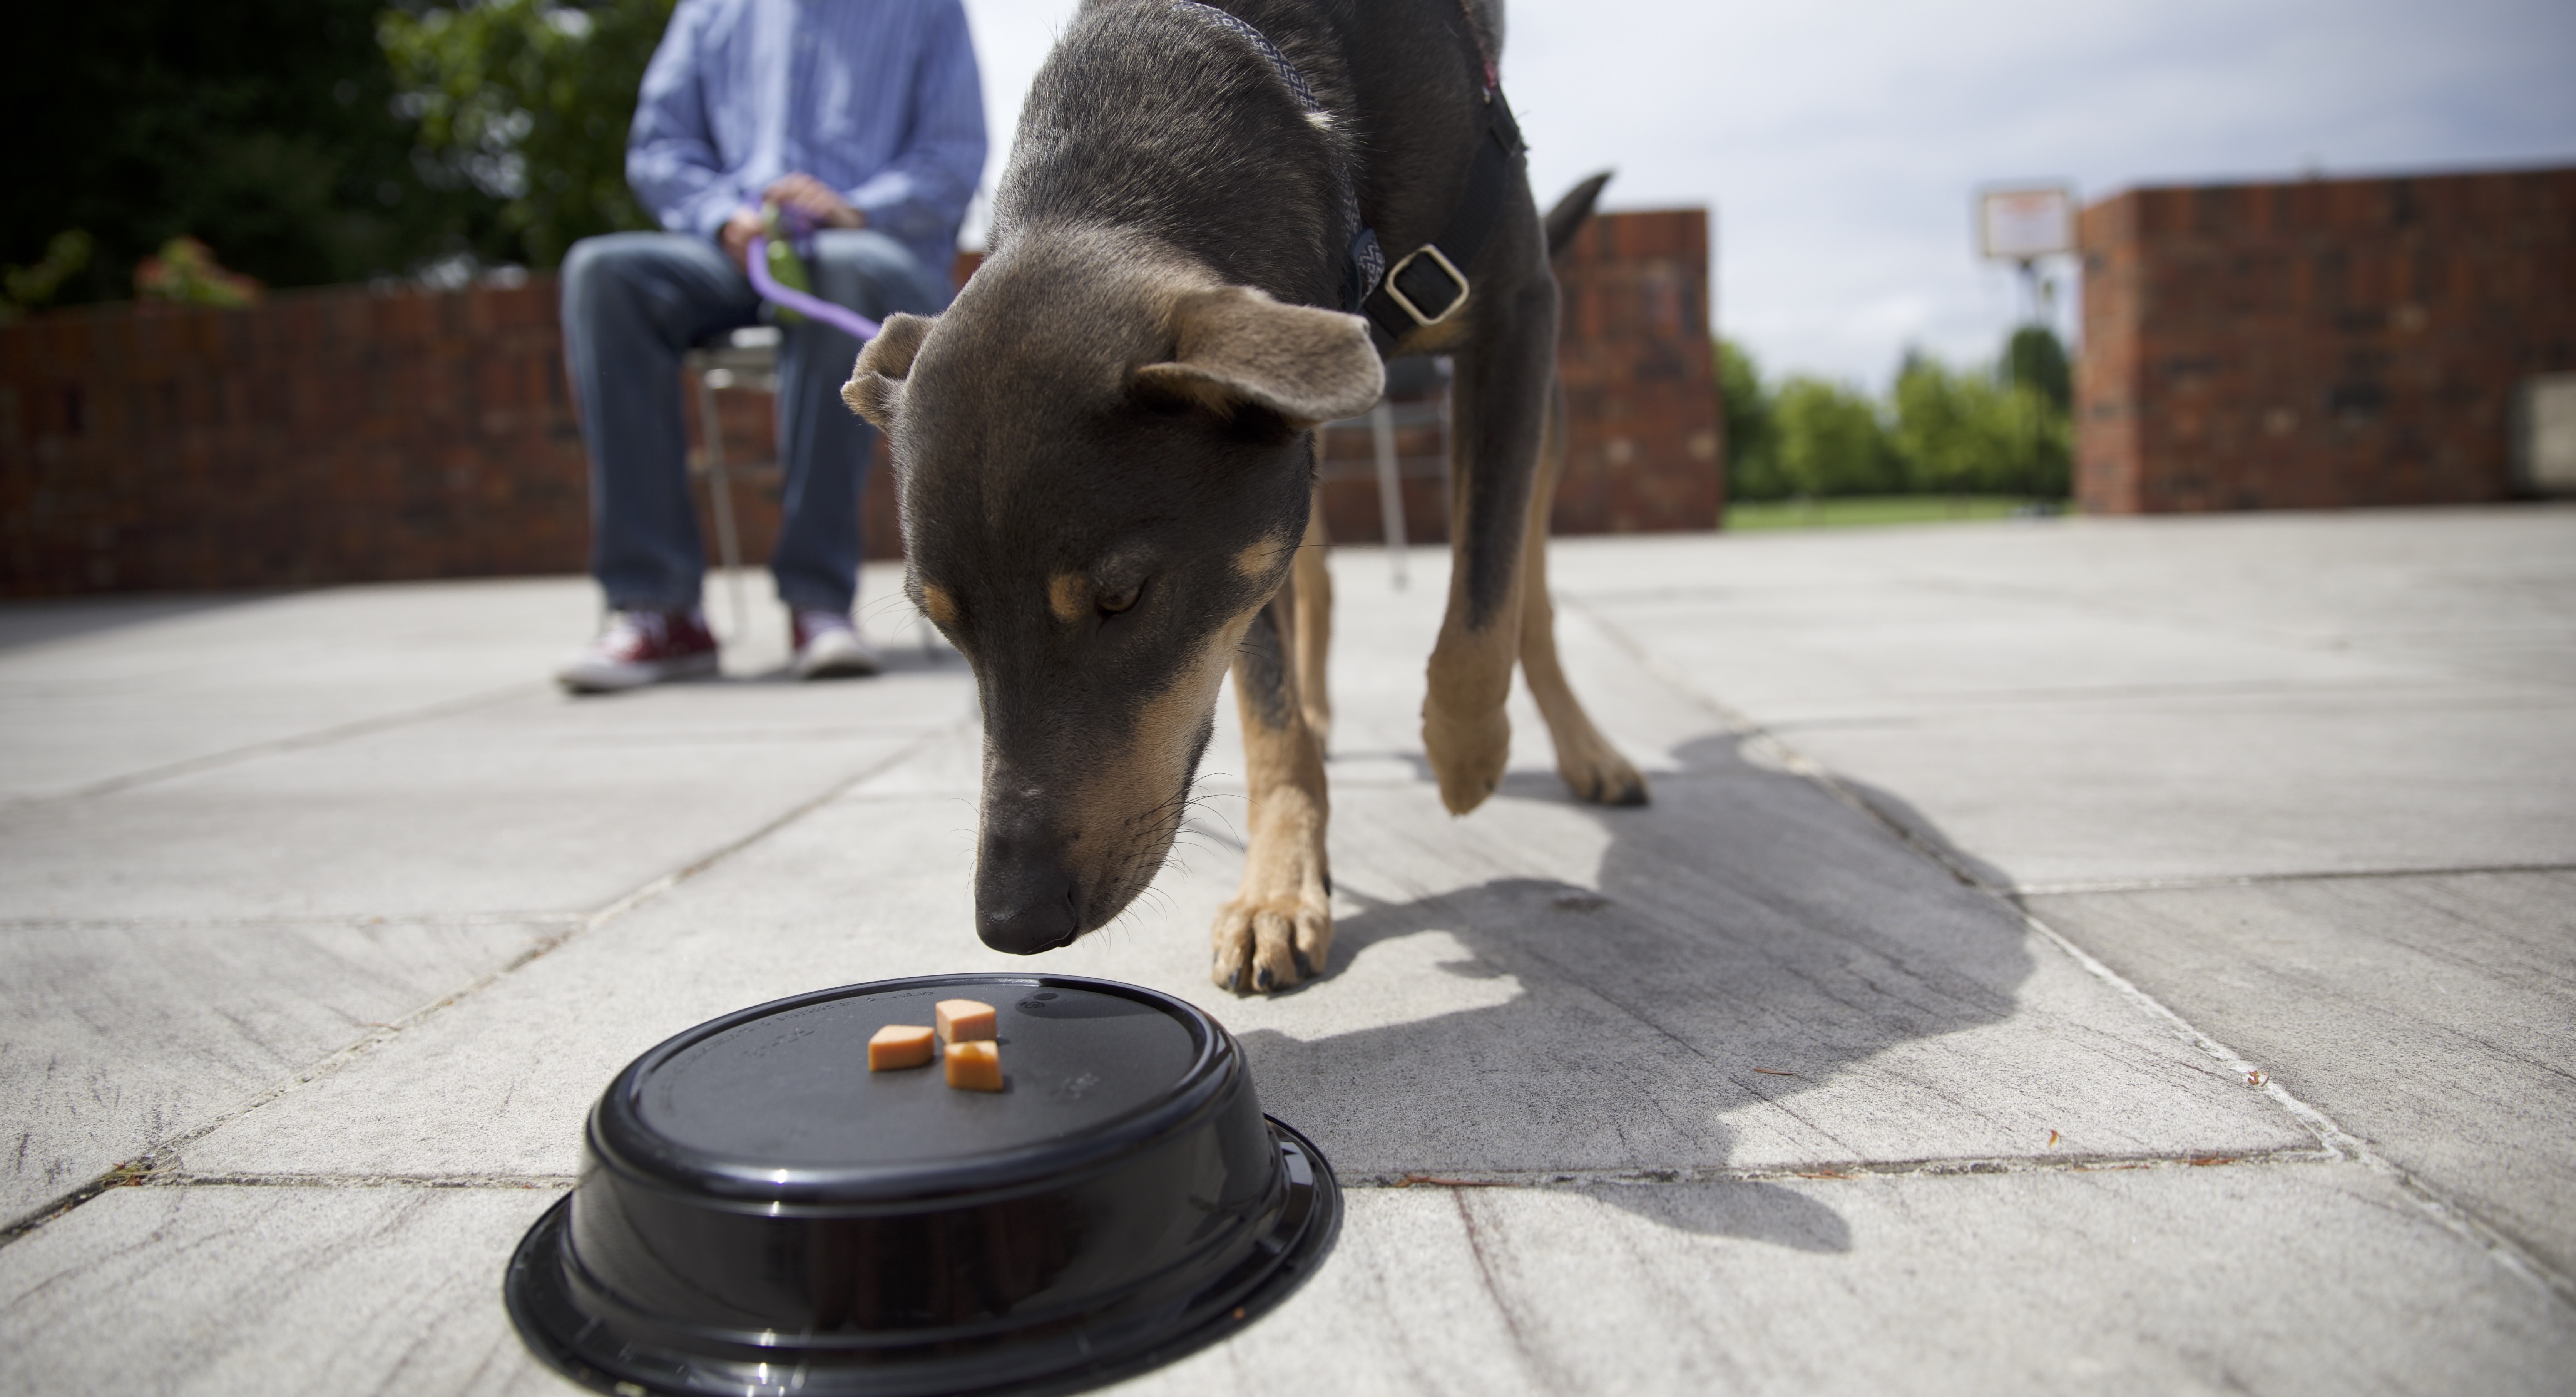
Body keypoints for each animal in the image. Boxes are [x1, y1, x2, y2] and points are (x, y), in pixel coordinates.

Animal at [845, 0, 1648, 995]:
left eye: (1121, 597)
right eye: (942, 623)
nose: (1011, 921)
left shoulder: (1517, 315)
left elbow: (1482, 603)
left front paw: (1465, 753)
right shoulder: (1245, 542)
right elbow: (1269, 706)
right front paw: (1279, 885)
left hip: (1542, 409)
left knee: (1527, 592)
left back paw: (1581, 751)